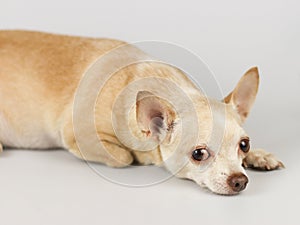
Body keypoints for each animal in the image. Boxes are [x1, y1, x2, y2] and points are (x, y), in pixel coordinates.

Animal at [0, 30, 284, 195]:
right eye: (198, 154)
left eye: (244, 145)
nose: (240, 181)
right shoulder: (76, 136)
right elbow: (125, 156)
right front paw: (139, 156)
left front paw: (260, 156)